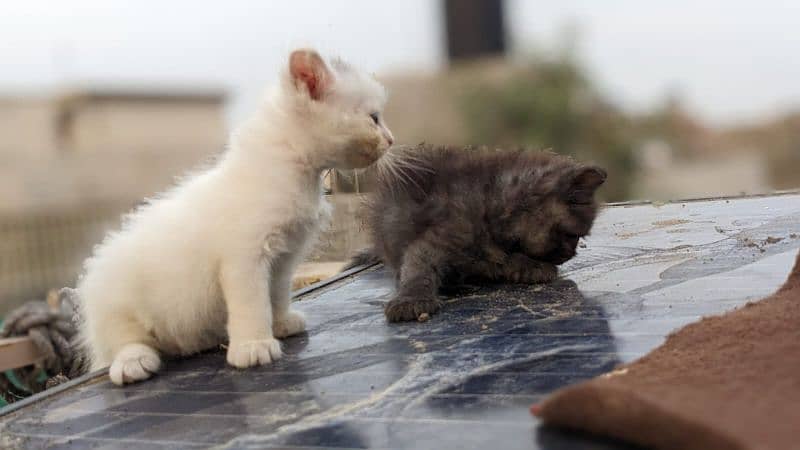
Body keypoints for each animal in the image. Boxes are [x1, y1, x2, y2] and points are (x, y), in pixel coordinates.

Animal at [76, 50, 396, 386]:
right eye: (374, 118)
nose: (391, 139)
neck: (292, 170)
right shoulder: (244, 259)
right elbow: (252, 304)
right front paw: (253, 345)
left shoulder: (282, 259)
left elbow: (276, 296)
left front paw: (280, 323)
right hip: (115, 301)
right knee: (123, 342)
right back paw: (134, 361)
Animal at [346, 146, 604, 322]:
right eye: (573, 236)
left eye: (579, 239)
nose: (571, 254)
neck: (488, 210)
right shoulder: (434, 240)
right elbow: (418, 271)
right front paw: (411, 300)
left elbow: (501, 260)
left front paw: (530, 267)